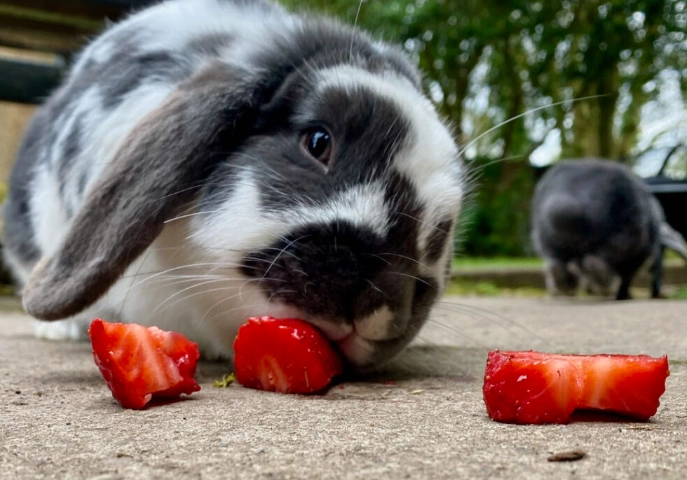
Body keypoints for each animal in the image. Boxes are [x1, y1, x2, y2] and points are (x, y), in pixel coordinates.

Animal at [530, 158, 687, 300]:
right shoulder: (639, 257)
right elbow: (627, 276)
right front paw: (624, 296)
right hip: (627, 237)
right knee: (598, 262)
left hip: (546, 238)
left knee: (559, 263)